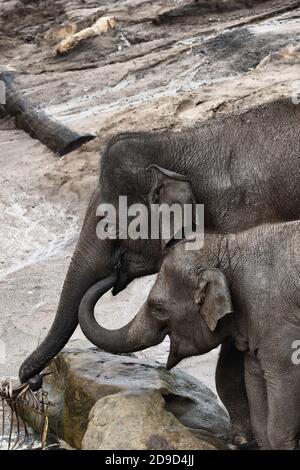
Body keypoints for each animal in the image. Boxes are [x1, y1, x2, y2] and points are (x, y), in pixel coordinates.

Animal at [79, 222, 300, 450]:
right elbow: (255, 380)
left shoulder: (278, 323)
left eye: (158, 308)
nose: (117, 269)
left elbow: (284, 381)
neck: (229, 248)